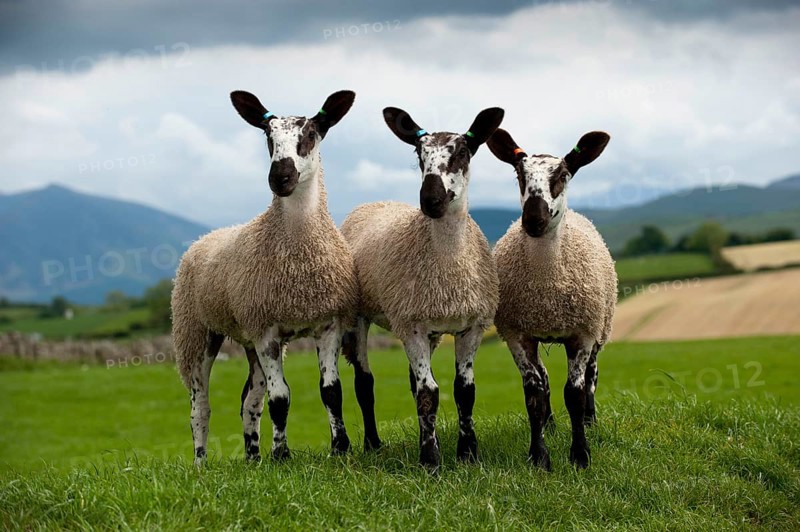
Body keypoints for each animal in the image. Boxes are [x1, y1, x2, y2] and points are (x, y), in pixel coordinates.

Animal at [171, 89, 364, 464]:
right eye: (267, 136)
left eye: (311, 134)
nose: (280, 177)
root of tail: (207, 236)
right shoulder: (266, 331)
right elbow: (281, 399)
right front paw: (282, 455)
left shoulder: (328, 323)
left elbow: (331, 392)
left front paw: (340, 449)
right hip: (196, 331)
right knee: (200, 406)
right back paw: (202, 462)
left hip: (245, 334)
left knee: (250, 398)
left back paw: (252, 457)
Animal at [340, 106, 504, 469]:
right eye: (419, 154)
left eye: (462, 152)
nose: (430, 199)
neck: (448, 264)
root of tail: (377, 202)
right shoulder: (411, 324)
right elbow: (430, 393)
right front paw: (430, 460)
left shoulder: (471, 325)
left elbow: (463, 390)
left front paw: (468, 454)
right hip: (360, 315)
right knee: (365, 382)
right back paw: (373, 443)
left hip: (430, 330)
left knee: (414, 383)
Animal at [486, 128, 616, 470]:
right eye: (519, 174)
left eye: (562, 175)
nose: (533, 219)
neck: (546, 290)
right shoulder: (517, 334)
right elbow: (534, 393)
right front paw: (539, 456)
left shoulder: (582, 334)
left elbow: (575, 393)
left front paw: (581, 455)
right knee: (543, 382)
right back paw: (551, 425)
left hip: (600, 327)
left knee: (591, 377)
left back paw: (589, 422)